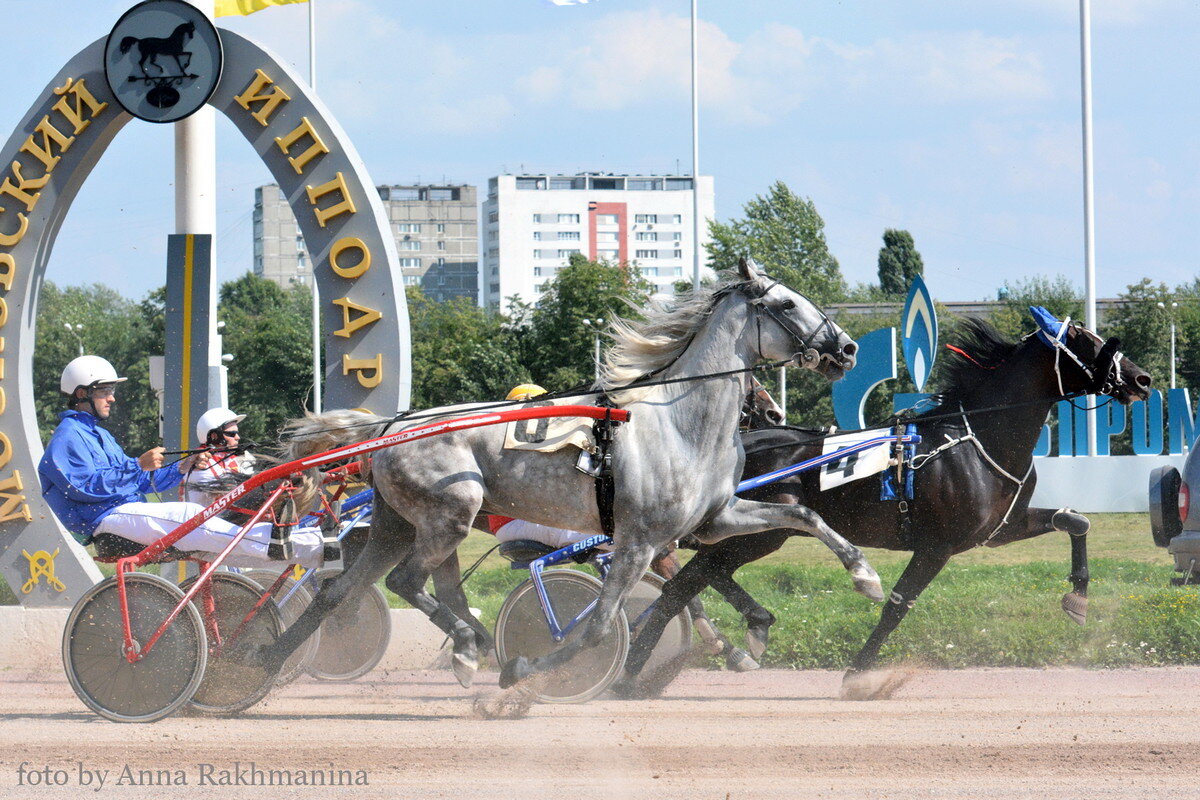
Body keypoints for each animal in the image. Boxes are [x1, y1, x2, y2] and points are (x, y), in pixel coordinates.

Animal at [265, 261, 883, 690]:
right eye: (787, 304)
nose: (848, 347)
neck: (680, 422)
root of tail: (394, 423)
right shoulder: (637, 541)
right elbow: (600, 625)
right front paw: (527, 668)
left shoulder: (714, 518)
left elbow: (801, 513)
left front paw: (865, 575)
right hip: (449, 513)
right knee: (404, 582)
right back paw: (468, 647)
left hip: (398, 523)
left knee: (344, 589)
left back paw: (257, 663)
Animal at [619, 309, 1152, 695]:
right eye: (1085, 340)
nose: (1143, 379)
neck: (976, 438)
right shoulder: (937, 546)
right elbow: (897, 606)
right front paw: (859, 675)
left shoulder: (1001, 529)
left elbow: (1076, 521)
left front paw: (1078, 598)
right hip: (759, 532)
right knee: (682, 583)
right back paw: (631, 672)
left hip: (762, 533)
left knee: (693, 578)